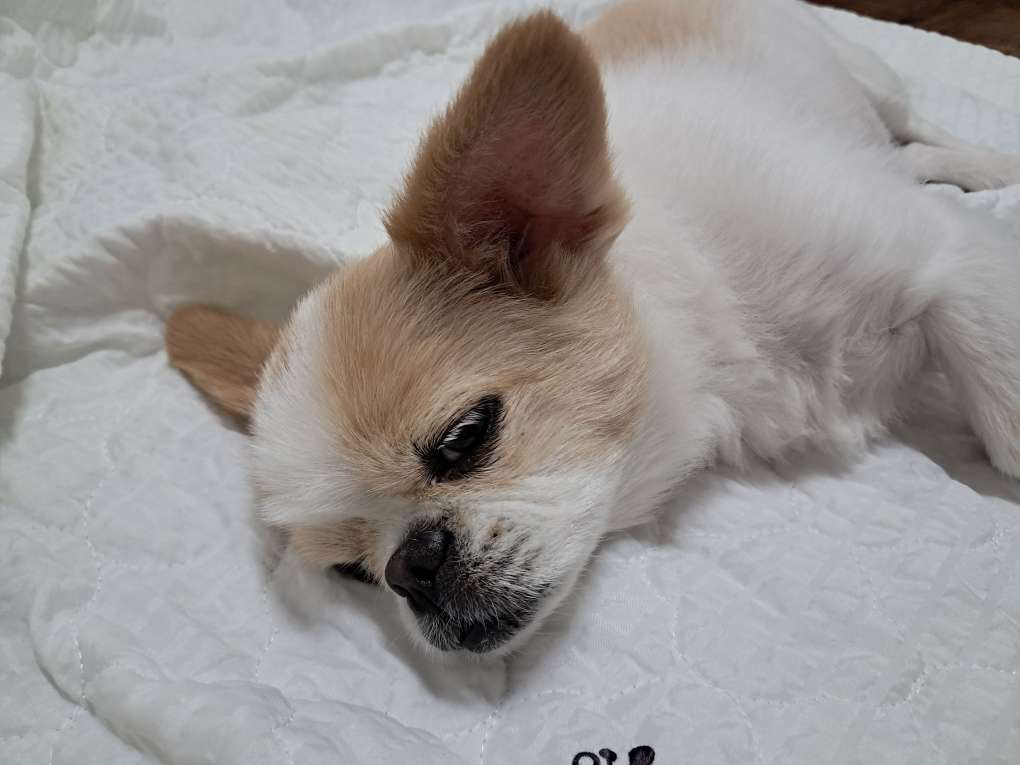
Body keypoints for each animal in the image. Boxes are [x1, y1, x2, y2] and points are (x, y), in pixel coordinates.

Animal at [166, 0, 1020, 657]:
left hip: (867, 73)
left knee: (914, 124)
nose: (411, 565)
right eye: (352, 571)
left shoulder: (955, 262)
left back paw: (981, 161)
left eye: (465, 437)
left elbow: (1006, 421)